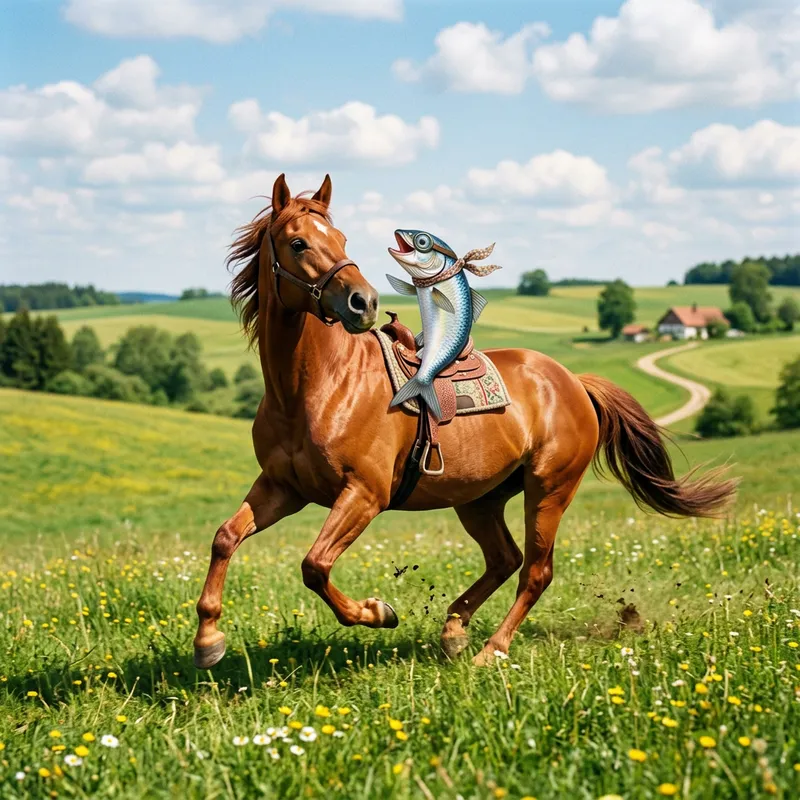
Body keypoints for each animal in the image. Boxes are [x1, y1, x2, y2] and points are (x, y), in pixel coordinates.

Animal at [193, 173, 737, 669]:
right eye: (298, 242)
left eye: (342, 239)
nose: (363, 302)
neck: (316, 387)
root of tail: (574, 382)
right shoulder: (283, 488)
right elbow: (225, 537)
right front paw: (208, 639)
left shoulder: (365, 494)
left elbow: (315, 565)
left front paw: (379, 612)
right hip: (479, 499)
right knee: (505, 559)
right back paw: (454, 630)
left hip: (549, 490)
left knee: (535, 570)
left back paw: (491, 650)